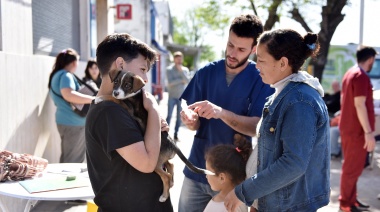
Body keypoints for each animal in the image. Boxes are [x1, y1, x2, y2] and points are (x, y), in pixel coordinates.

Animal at [96, 69, 212, 202]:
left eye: (127, 85)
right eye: (115, 82)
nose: (115, 92)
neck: (133, 95)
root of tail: (173, 143)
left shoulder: (128, 107)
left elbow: (116, 100)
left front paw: (99, 98)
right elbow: (117, 99)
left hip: (156, 163)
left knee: (166, 176)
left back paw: (164, 196)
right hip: (162, 159)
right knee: (171, 165)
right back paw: (171, 184)